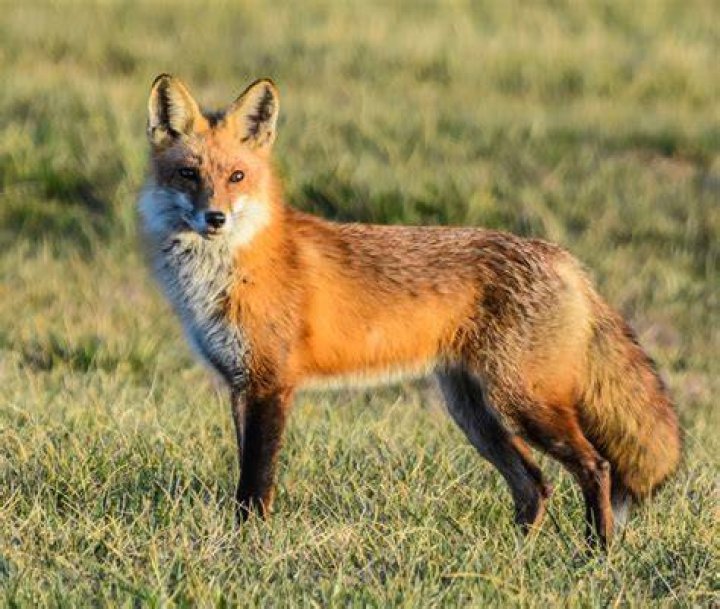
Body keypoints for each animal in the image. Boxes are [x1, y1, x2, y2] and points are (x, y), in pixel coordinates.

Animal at [138, 74, 681, 547]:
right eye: (188, 175)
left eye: (237, 176)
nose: (215, 218)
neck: (230, 271)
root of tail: (563, 257)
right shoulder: (239, 384)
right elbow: (244, 472)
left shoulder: (271, 383)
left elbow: (256, 483)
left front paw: (248, 545)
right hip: (476, 413)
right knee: (534, 484)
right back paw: (516, 557)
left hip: (524, 403)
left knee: (596, 466)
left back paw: (597, 553)